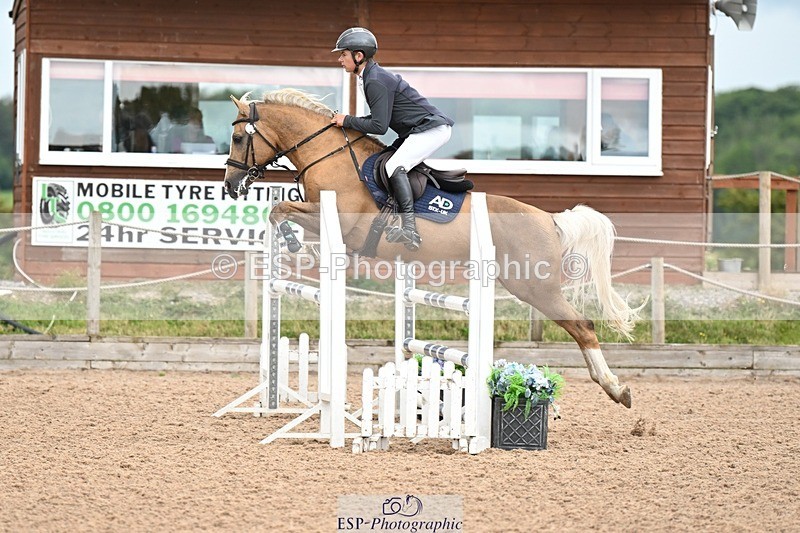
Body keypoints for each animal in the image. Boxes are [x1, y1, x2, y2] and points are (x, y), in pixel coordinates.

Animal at [223, 88, 640, 408]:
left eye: (239, 139)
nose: (230, 185)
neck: (331, 157)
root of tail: (550, 219)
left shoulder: (340, 223)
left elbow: (279, 209)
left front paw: (297, 245)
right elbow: (278, 210)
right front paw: (295, 244)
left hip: (535, 288)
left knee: (583, 327)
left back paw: (615, 388)